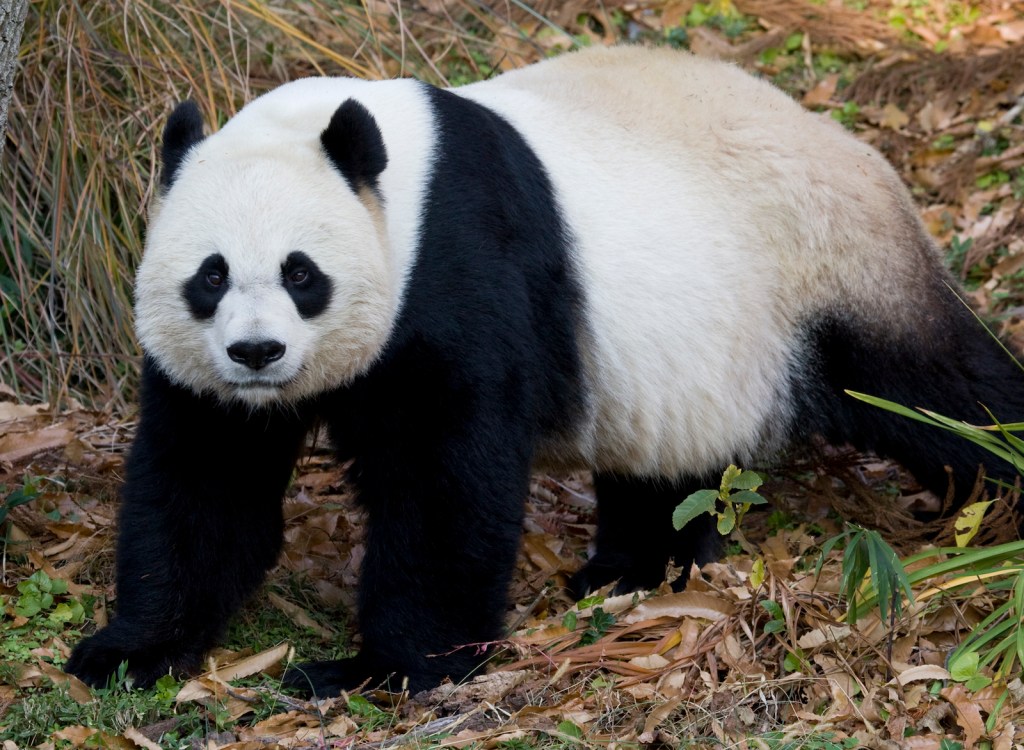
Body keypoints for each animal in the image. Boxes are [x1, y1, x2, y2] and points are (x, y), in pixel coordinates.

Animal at [68, 44, 1019, 692]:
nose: (257, 353)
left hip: (829, 270)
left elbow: (444, 477)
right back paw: (631, 571)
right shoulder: (213, 380)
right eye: (211, 275)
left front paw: (384, 669)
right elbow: (207, 480)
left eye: (303, 274)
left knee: (937, 387)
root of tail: (856, 148)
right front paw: (130, 650)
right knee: (668, 464)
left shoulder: (455, 264)